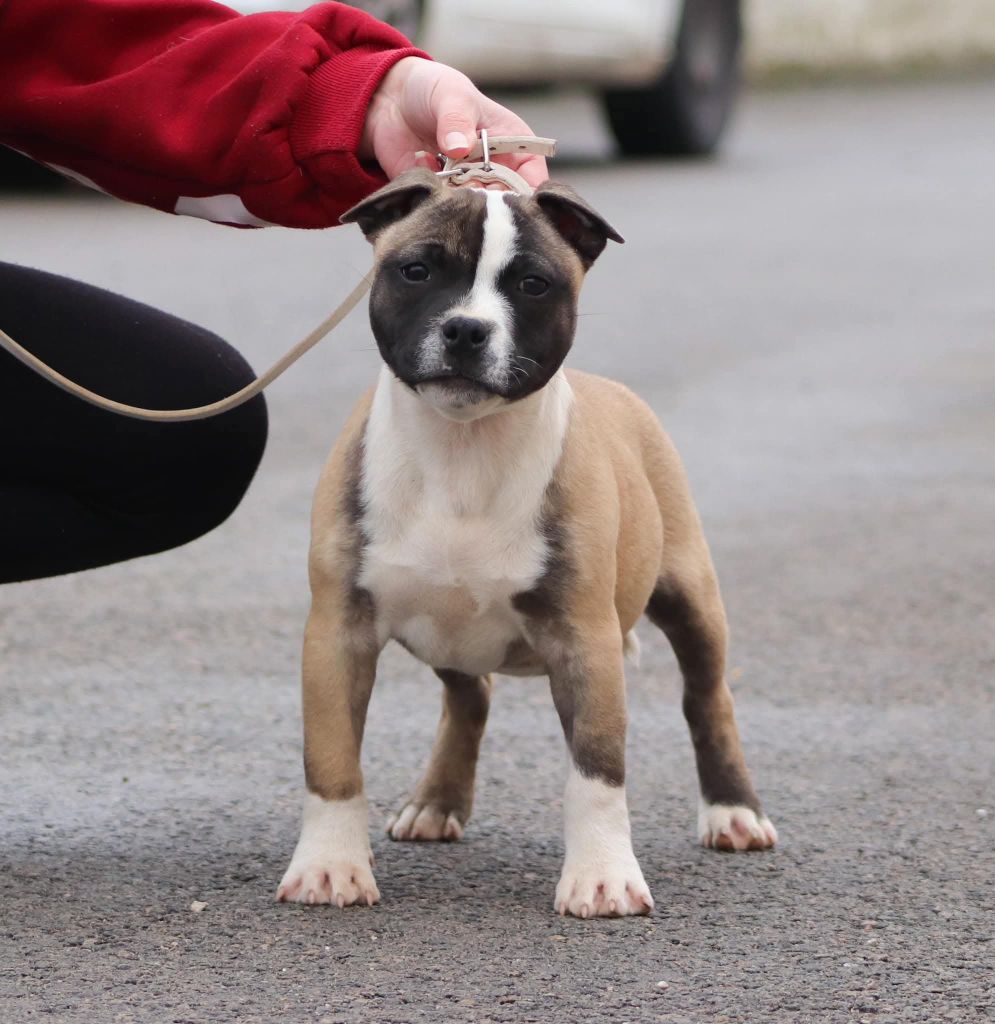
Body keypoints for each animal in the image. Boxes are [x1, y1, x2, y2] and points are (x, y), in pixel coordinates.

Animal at [276, 169, 776, 918]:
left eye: (533, 284)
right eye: (416, 270)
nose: (466, 328)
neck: (462, 449)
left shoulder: (585, 641)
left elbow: (596, 771)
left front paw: (602, 876)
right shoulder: (339, 632)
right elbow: (332, 757)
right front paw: (330, 866)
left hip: (690, 595)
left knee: (707, 697)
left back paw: (733, 811)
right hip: (448, 631)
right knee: (470, 697)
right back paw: (436, 803)